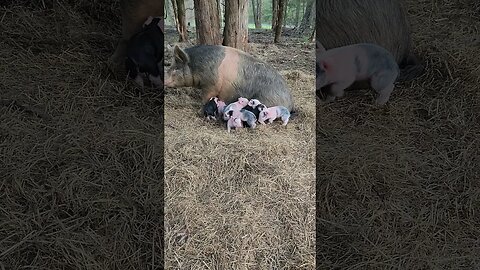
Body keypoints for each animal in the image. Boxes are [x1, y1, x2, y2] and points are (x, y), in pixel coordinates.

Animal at [163, 44, 294, 112]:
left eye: (176, 68)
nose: (163, 79)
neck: (197, 67)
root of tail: (291, 103)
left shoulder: (212, 84)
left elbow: (206, 97)